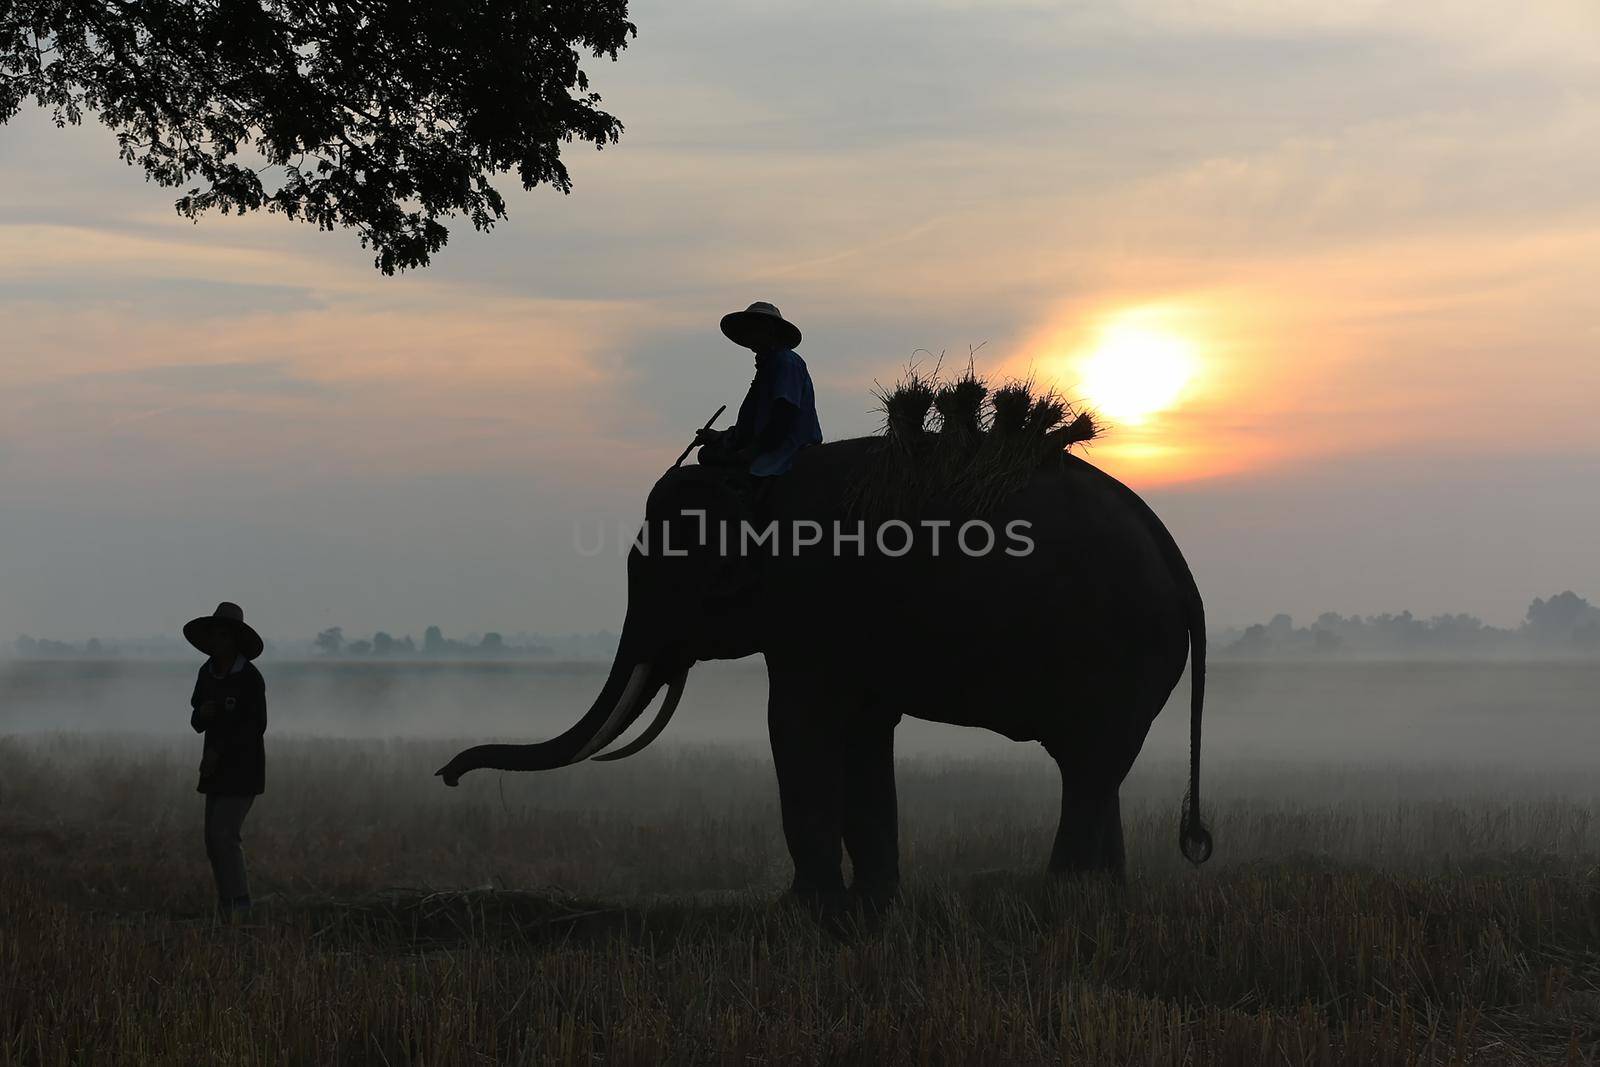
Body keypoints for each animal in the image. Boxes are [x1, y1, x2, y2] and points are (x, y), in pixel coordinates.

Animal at [438, 438, 1209, 908]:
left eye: (660, 575)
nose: (447, 776)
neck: (757, 484)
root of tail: (1180, 567)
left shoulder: (810, 608)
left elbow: (796, 725)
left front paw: (803, 910)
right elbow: (863, 734)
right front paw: (872, 907)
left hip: (1116, 654)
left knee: (1087, 770)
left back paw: (1059, 903)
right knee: (1096, 771)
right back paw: (1099, 903)